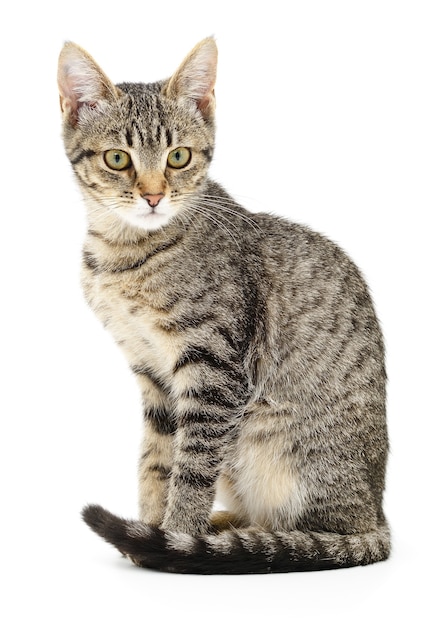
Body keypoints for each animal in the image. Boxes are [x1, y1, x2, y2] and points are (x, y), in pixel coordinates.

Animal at [56, 39, 390, 572]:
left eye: (178, 156)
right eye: (117, 158)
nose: (153, 196)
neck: (127, 255)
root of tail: (376, 516)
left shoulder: (214, 368)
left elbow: (192, 468)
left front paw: (174, 536)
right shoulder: (152, 372)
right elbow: (156, 460)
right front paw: (151, 529)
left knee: (309, 532)